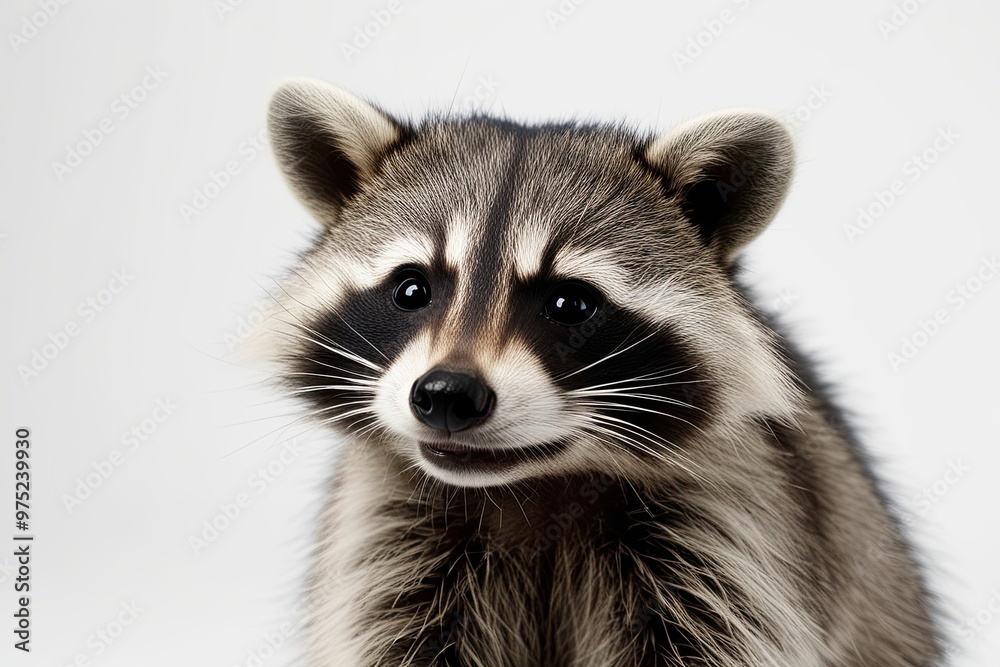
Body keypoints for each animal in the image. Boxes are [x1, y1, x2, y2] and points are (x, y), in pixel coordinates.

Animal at [259, 78, 940, 666]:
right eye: (411, 290)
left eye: (569, 304)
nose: (448, 394)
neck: (532, 487)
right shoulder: (388, 534)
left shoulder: (733, 524)